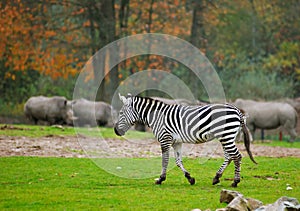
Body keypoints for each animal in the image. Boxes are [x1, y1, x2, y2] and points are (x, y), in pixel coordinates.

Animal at [113, 93, 256, 187]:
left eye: (120, 113)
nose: (115, 131)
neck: (157, 117)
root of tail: (237, 111)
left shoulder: (165, 139)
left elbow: (165, 160)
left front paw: (160, 179)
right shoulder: (177, 142)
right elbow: (178, 161)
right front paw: (190, 178)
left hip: (226, 135)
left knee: (237, 156)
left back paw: (235, 182)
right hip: (227, 136)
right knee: (229, 156)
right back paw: (216, 178)